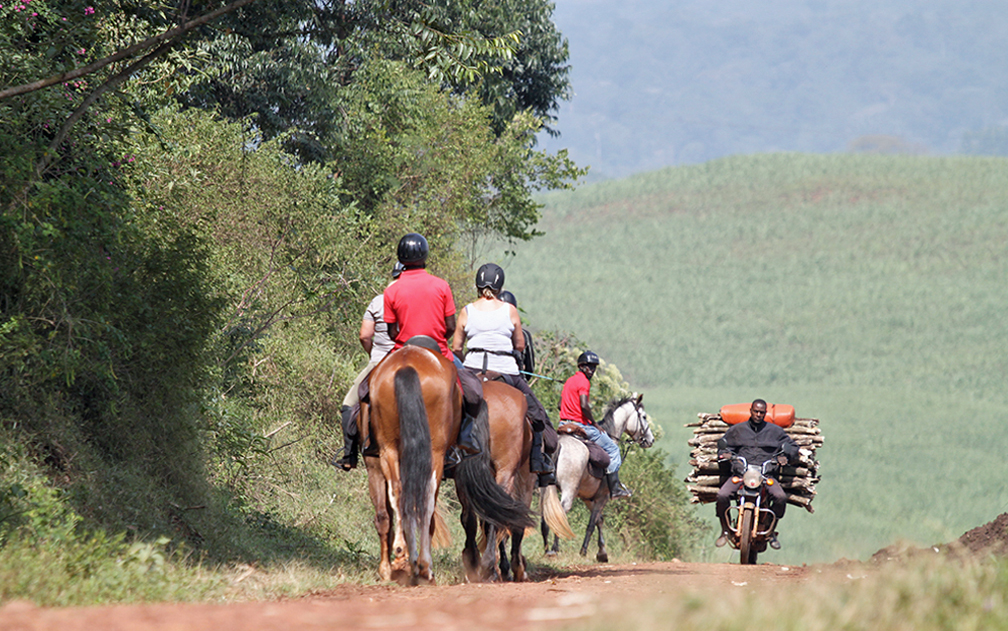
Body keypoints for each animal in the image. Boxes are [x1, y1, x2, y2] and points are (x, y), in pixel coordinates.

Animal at [459, 374, 572, 580]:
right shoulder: (525, 479)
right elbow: (516, 521)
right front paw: (517, 566)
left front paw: (505, 566)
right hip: (506, 471)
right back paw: (489, 566)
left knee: (470, 517)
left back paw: (475, 564)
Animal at [544, 393, 653, 560]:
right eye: (644, 416)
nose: (650, 440)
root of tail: (560, 443)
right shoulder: (603, 497)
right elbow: (592, 524)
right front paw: (584, 551)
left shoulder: (588, 498)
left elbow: (598, 521)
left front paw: (602, 551)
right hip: (569, 491)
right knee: (560, 513)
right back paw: (555, 548)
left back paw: (546, 549)